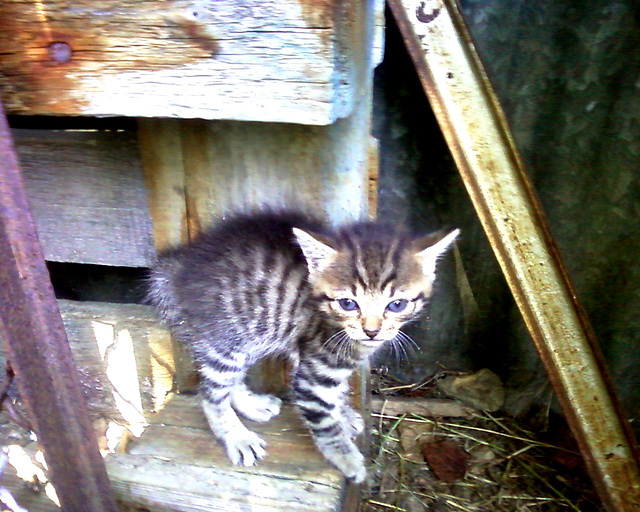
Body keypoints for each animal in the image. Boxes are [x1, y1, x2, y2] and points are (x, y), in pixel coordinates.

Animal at [148, 210, 458, 482]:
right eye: (348, 303)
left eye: (397, 305)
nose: (371, 331)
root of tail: (178, 269)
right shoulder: (315, 370)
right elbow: (324, 422)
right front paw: (348, 459)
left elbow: (338, 393)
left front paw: (344, 414)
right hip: (231, 336)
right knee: (210, 392)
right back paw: (237, 437)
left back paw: (252, 405)